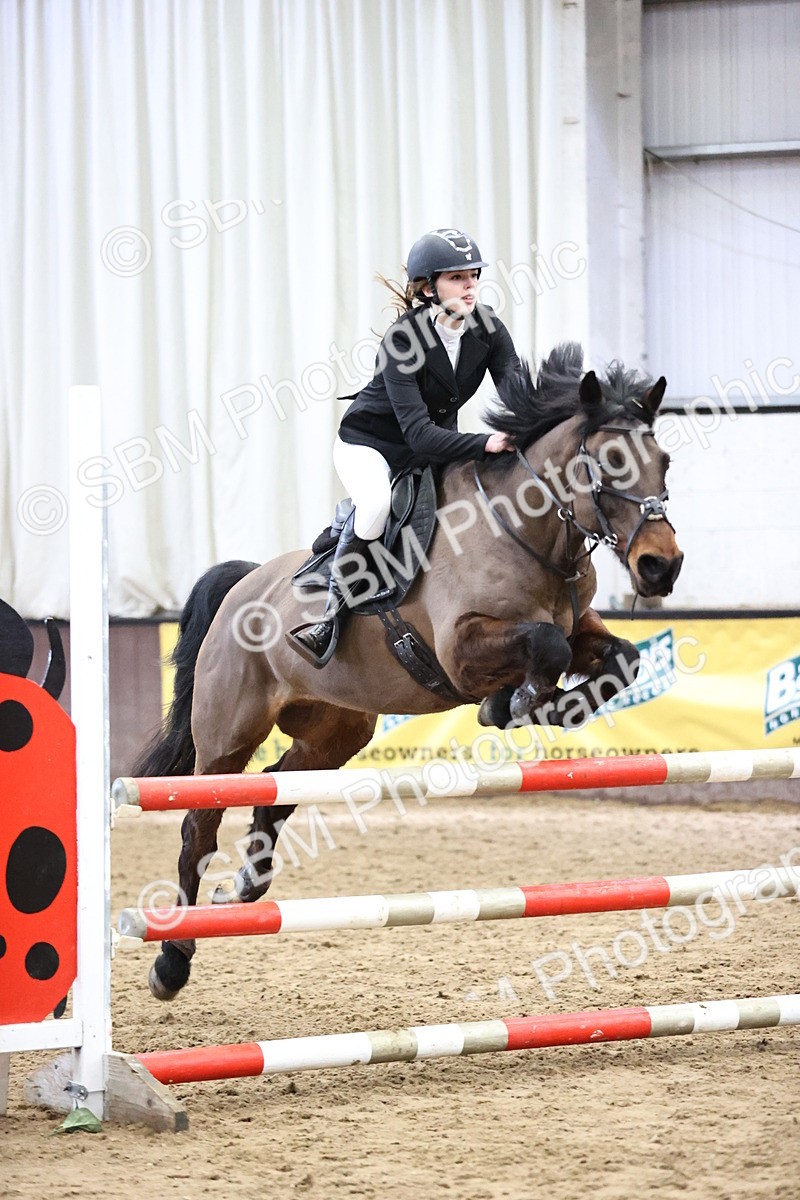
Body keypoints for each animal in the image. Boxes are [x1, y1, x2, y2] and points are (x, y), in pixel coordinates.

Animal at [133, 343, 683, 1000]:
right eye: (606, 462)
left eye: (665, 461)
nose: (660, 566)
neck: (526, 532)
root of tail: (243, 584)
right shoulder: (460, 648)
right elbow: (544, 646)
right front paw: (513, 703)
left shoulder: (579, 630)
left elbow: (616, 659)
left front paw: (543, 705)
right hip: (226, 734)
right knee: (199, 826)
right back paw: (172, 961)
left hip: (335, 730)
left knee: (275, 792)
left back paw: (243, 889)